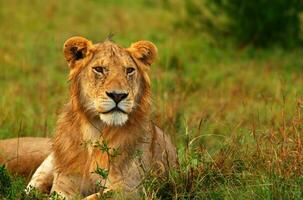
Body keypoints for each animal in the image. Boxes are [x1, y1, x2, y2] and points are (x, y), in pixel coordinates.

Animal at [0, 36, 178, 198]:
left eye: (129, 70)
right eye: (99, 69)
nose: (118, 95)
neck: (96, 131)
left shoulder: (131, 188)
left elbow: (96, 196)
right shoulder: (64, 185)